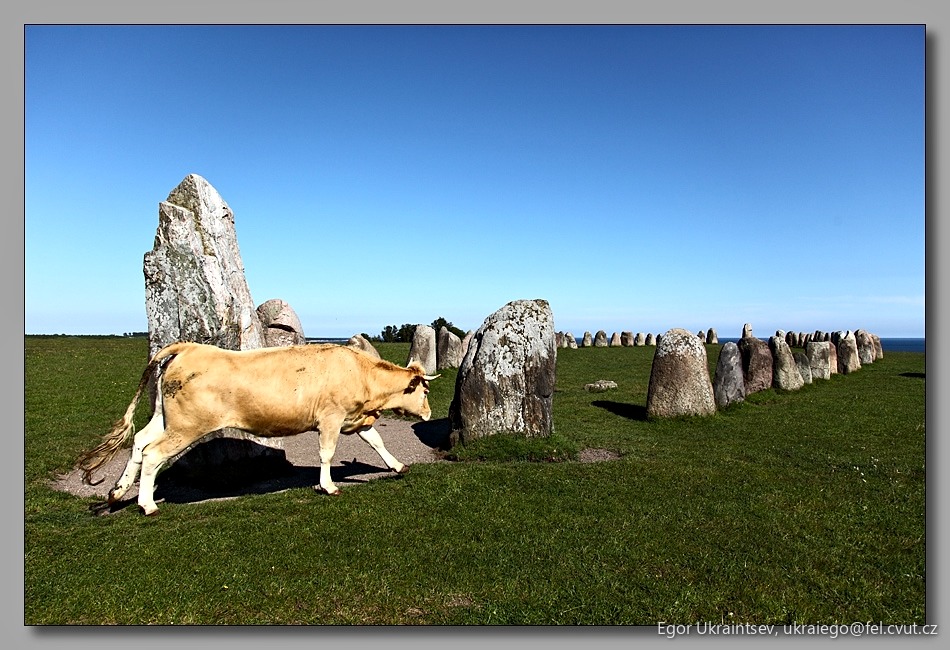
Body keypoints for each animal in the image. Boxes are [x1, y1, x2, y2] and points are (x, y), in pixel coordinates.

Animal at [77, 341, 439, 515]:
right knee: (153, 453)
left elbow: (377, 442)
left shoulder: (356, 420)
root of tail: (188, 347)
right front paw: (328, 485)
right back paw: (147, 504)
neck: (361, 374)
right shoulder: (331, 418)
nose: (428, 412)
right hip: (187, 425)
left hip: (165, 418)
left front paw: (398, 466)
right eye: (424, 392)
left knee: (139, 443)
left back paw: (119, 492)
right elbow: (326, 453)